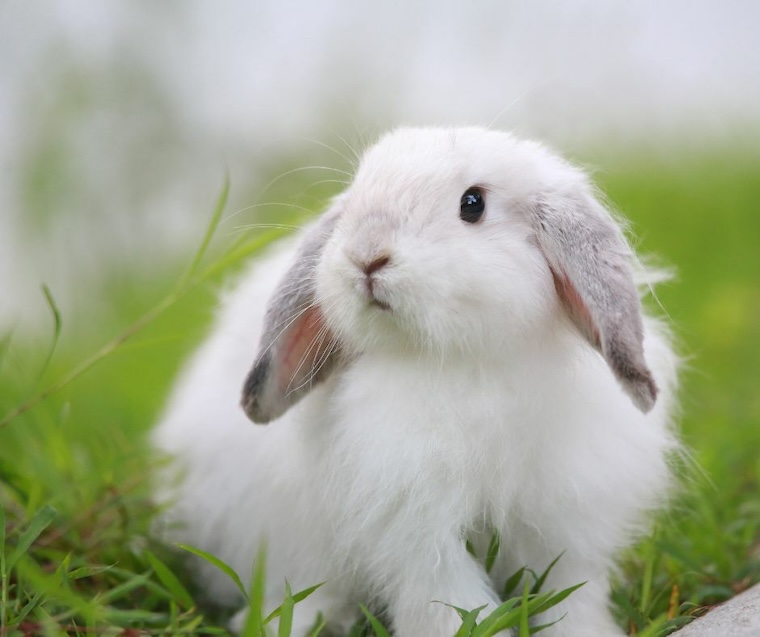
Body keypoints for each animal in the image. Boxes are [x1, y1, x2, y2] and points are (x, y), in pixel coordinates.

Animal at [152, 126, 679, 637]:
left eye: (473, 204)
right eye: (356, 194)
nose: (366, 256)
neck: (464, 360)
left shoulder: (565, 525)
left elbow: (571, 597)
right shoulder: (418, 533)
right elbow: (448, 602)